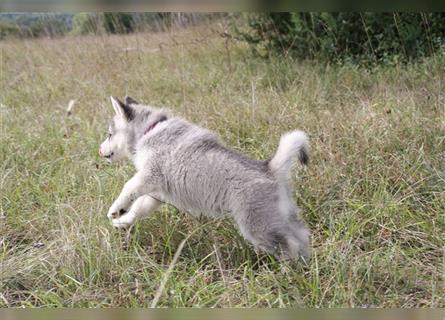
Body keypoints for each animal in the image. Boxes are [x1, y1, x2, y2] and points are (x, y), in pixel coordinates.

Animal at [99, 95, 310, 260]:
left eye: (109, 134)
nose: (99, 151)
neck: (149, 130)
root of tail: (269, 169)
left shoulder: (149, 175)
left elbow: (129, 187)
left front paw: (115, 209)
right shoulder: (157, 193)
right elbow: (139, 208)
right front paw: (122, 221)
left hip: (256, 226)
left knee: (289, 245)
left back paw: (287, 272)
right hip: (280, 217)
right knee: (302, 236)